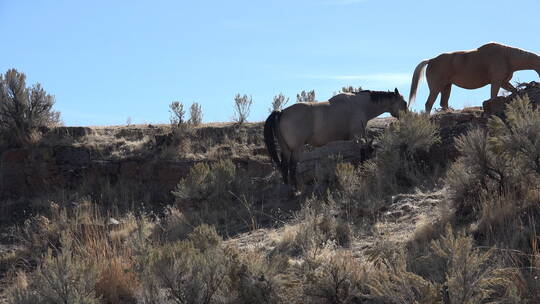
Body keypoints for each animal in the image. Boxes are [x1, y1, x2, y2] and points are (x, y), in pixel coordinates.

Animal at [264, 88, 408, 188]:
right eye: (405, 102)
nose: (407, 115)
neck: (359, 104)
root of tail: (282, 112)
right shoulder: (356, 136)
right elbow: (360, 153)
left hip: (286, 149)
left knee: (284, 166)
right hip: (296, 148)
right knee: (292, 167)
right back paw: (296, 188)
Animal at [410, 42, 540, 113]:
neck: (507, 56)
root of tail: (431, 60)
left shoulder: (504, 82)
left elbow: (515, 90)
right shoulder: (496, 81)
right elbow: (493, 96)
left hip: (447, 86)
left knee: (443, 103)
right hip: (436, 87)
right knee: (428, 104)